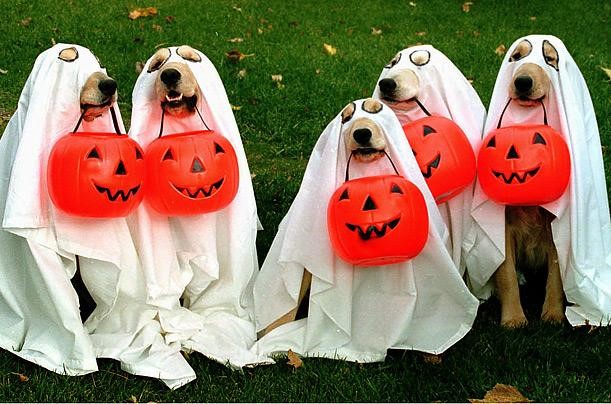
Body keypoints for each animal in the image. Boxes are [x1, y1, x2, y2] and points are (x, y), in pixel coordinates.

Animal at [494, 38, 568, 328]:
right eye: (516, 56)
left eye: (550, 59)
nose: (523, 82)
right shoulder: (503, 228)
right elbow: (507, 276)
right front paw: (514, 319)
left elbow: (556, 277)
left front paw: (553, 315)